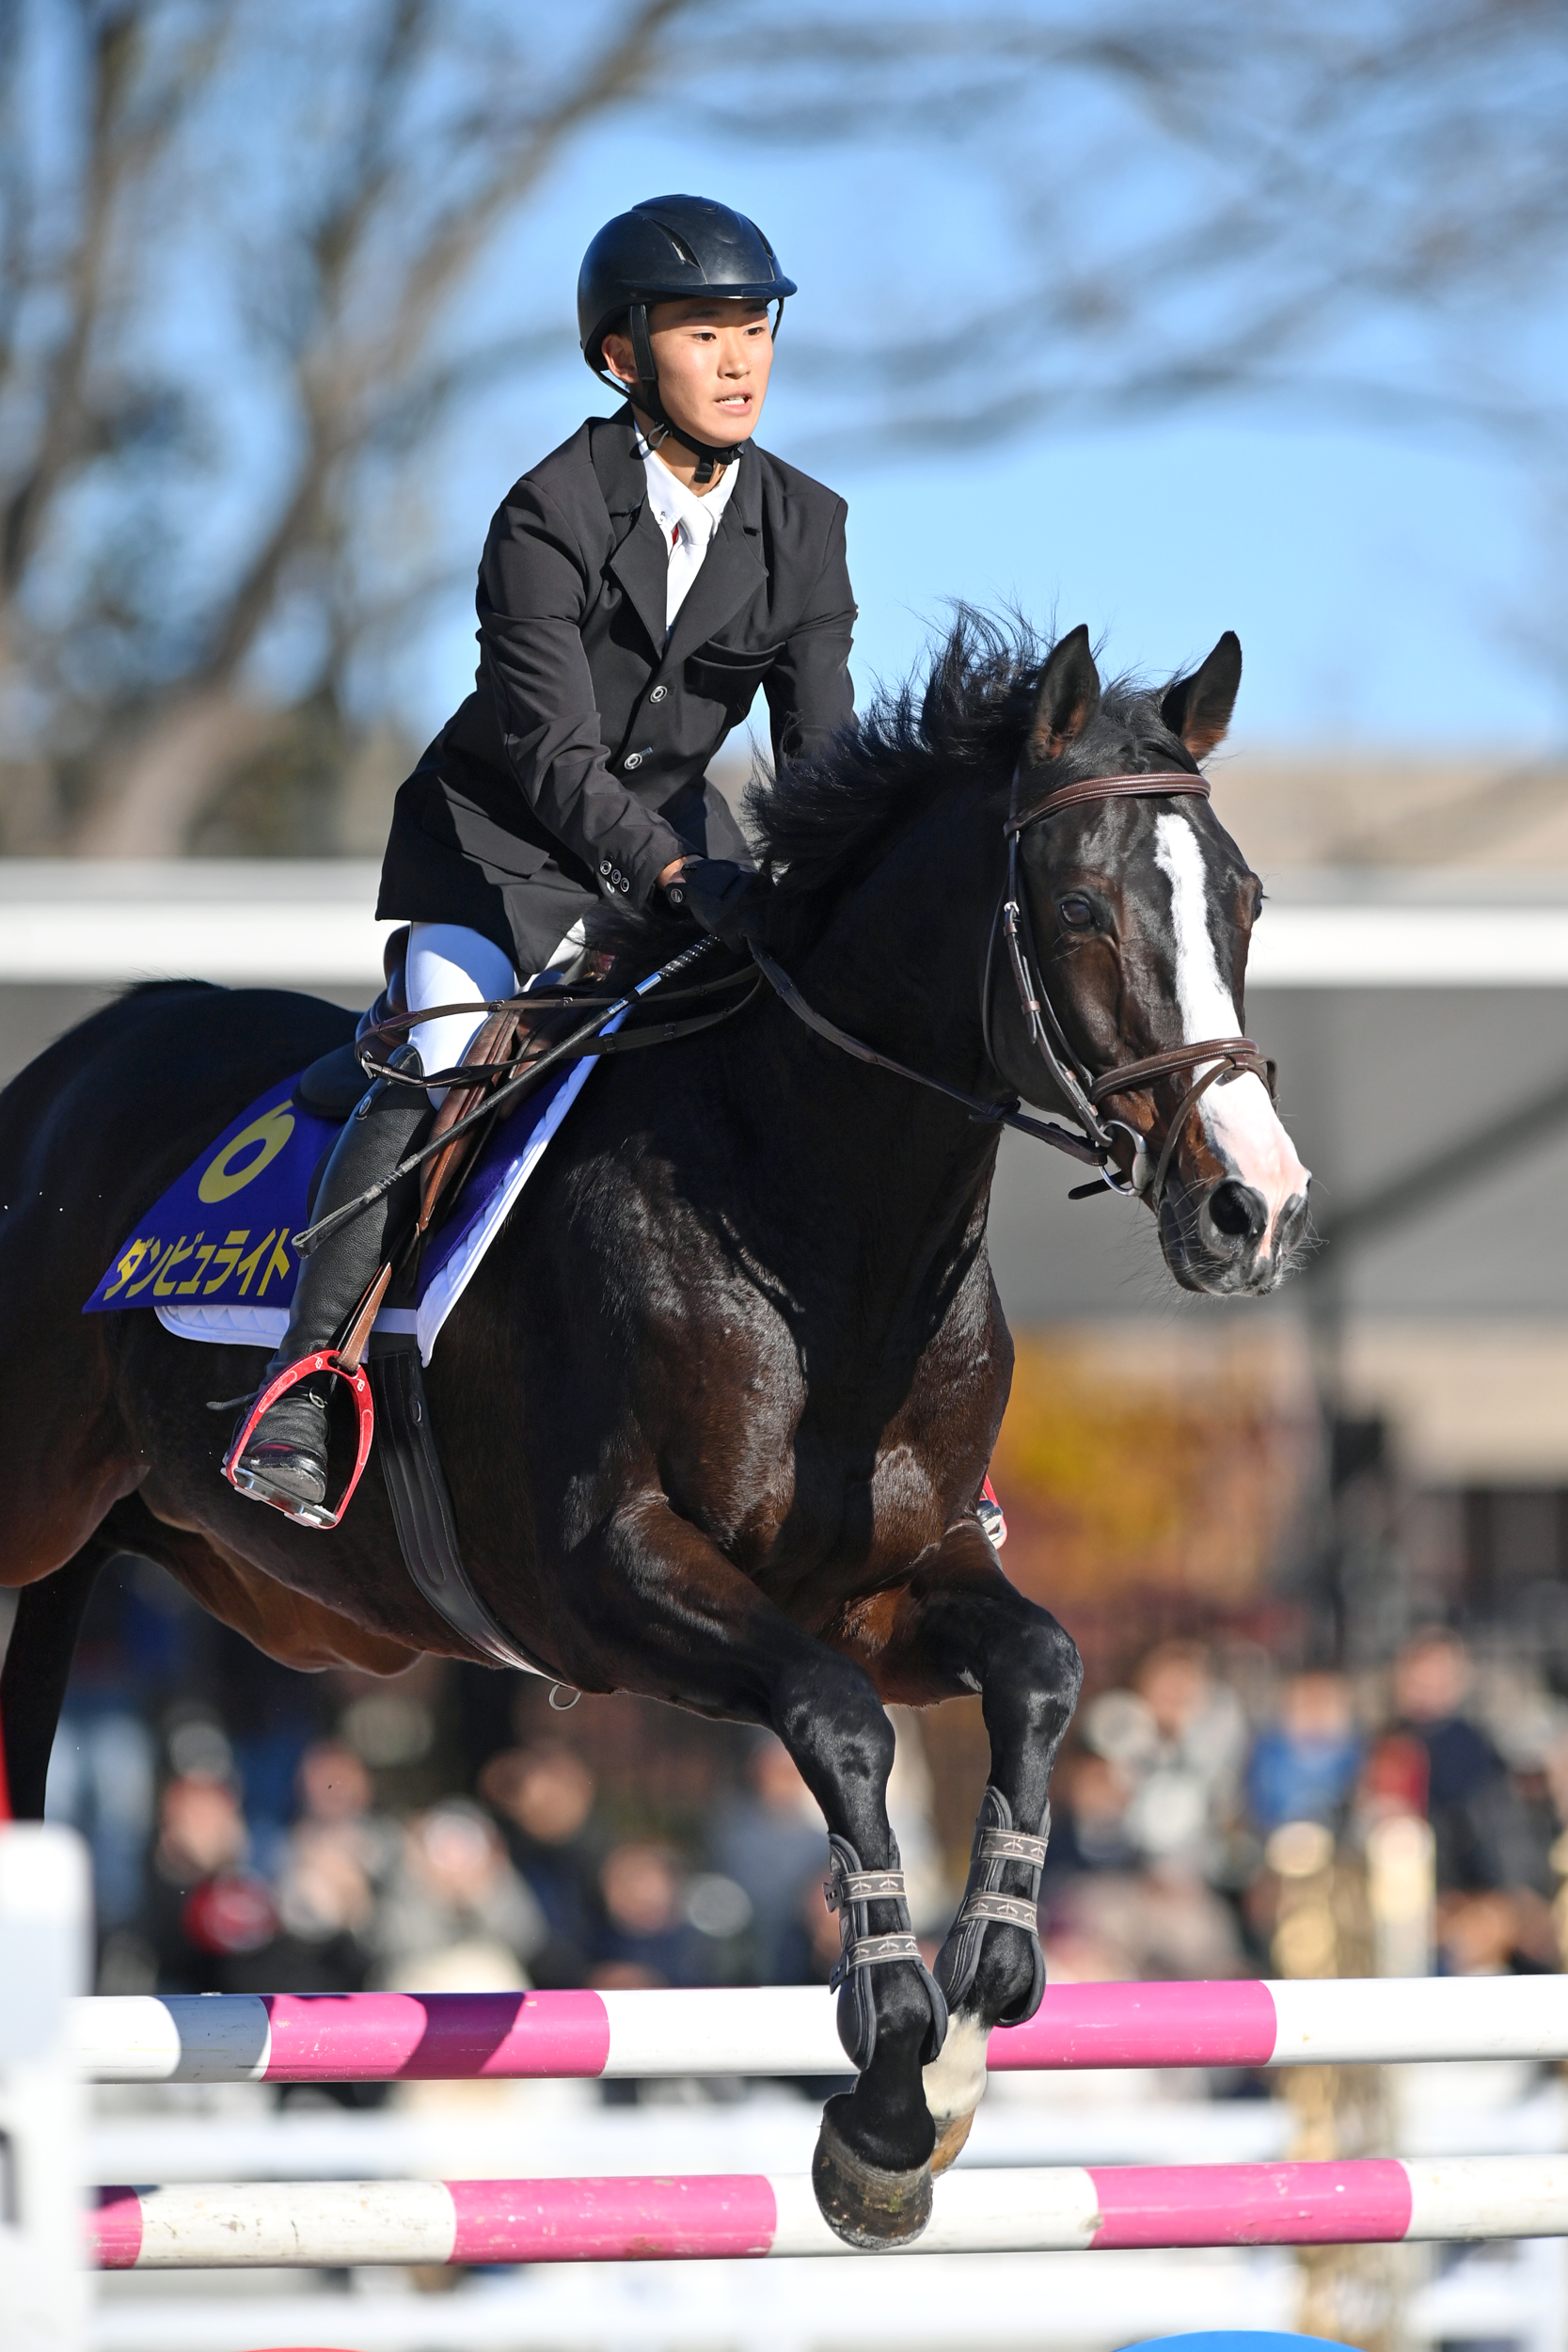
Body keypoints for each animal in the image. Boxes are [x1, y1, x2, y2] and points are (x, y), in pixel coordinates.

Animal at [0, 614, 1311, 2247]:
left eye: (1243, 899)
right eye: (1076, 902)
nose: (1254, 1211)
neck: (817, 1231)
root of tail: (69, 1065)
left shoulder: (891, 1581)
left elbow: (1043, 1669)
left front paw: (968, 2021)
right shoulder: (604, 1580)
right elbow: (835, 1719)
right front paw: (887, 2084)